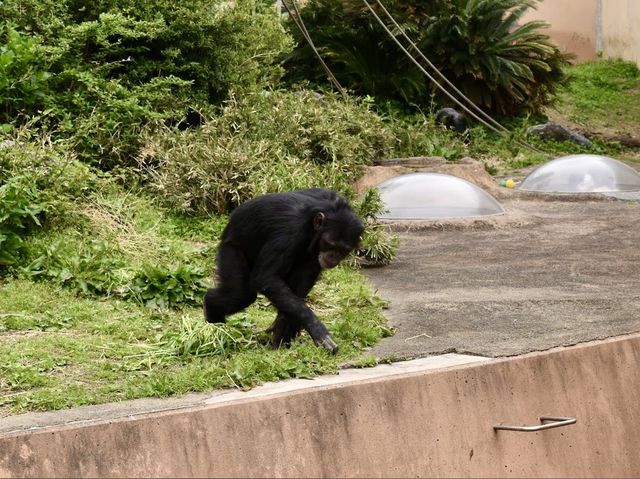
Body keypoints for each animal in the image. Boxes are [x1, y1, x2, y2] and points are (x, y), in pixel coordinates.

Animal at [205, 189, 364, 354]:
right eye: (330, 244)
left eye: (343, 249)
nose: (334, 256)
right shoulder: (290, 230)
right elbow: (266, 277)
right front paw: (317, 329)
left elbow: (298, 291)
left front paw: (282, 330)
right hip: (231, 248)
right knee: (240, 294)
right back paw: (215, 323)